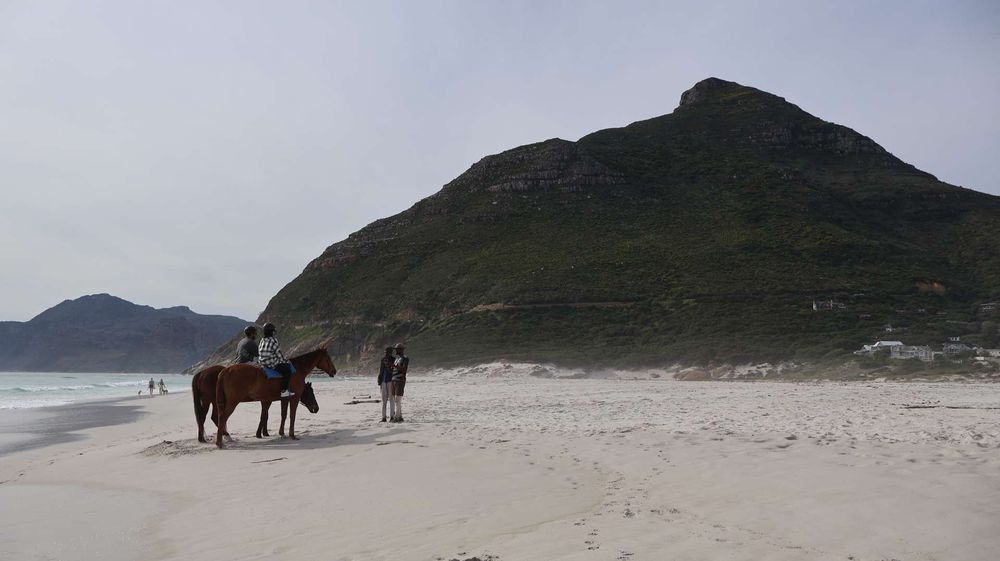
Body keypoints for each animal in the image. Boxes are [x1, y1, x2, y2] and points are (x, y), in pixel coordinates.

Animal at [192, 366, 320, 443]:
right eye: (310, 392)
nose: (316, 408)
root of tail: (201, 373)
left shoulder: (266, 401)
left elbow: (265, 415)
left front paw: (264, 433)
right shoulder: (270, 400)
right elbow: (266, 416)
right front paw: (262, 433)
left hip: (212, 401)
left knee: (206, 417)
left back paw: (207, 437)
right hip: (211, 401)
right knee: (208, 417)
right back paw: (220, 436)